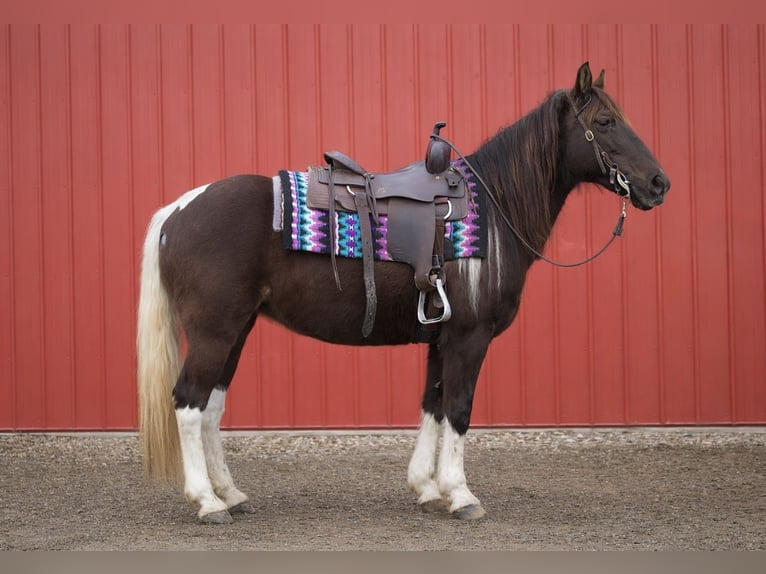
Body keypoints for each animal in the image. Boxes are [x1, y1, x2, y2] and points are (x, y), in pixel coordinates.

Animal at [137, 62, 670, 524]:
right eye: (604, 122)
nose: (659, 183)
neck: (492, 212)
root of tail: (178, 210)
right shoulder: (469, 338)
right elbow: (459, 409)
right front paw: (460, 494)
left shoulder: (442, 338)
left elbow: (433, 406)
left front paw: (427, 488)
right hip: (215, 332)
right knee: (189, 403)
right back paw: (208, 502)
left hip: (237, 330)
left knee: (211, 407)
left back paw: (231, 493)